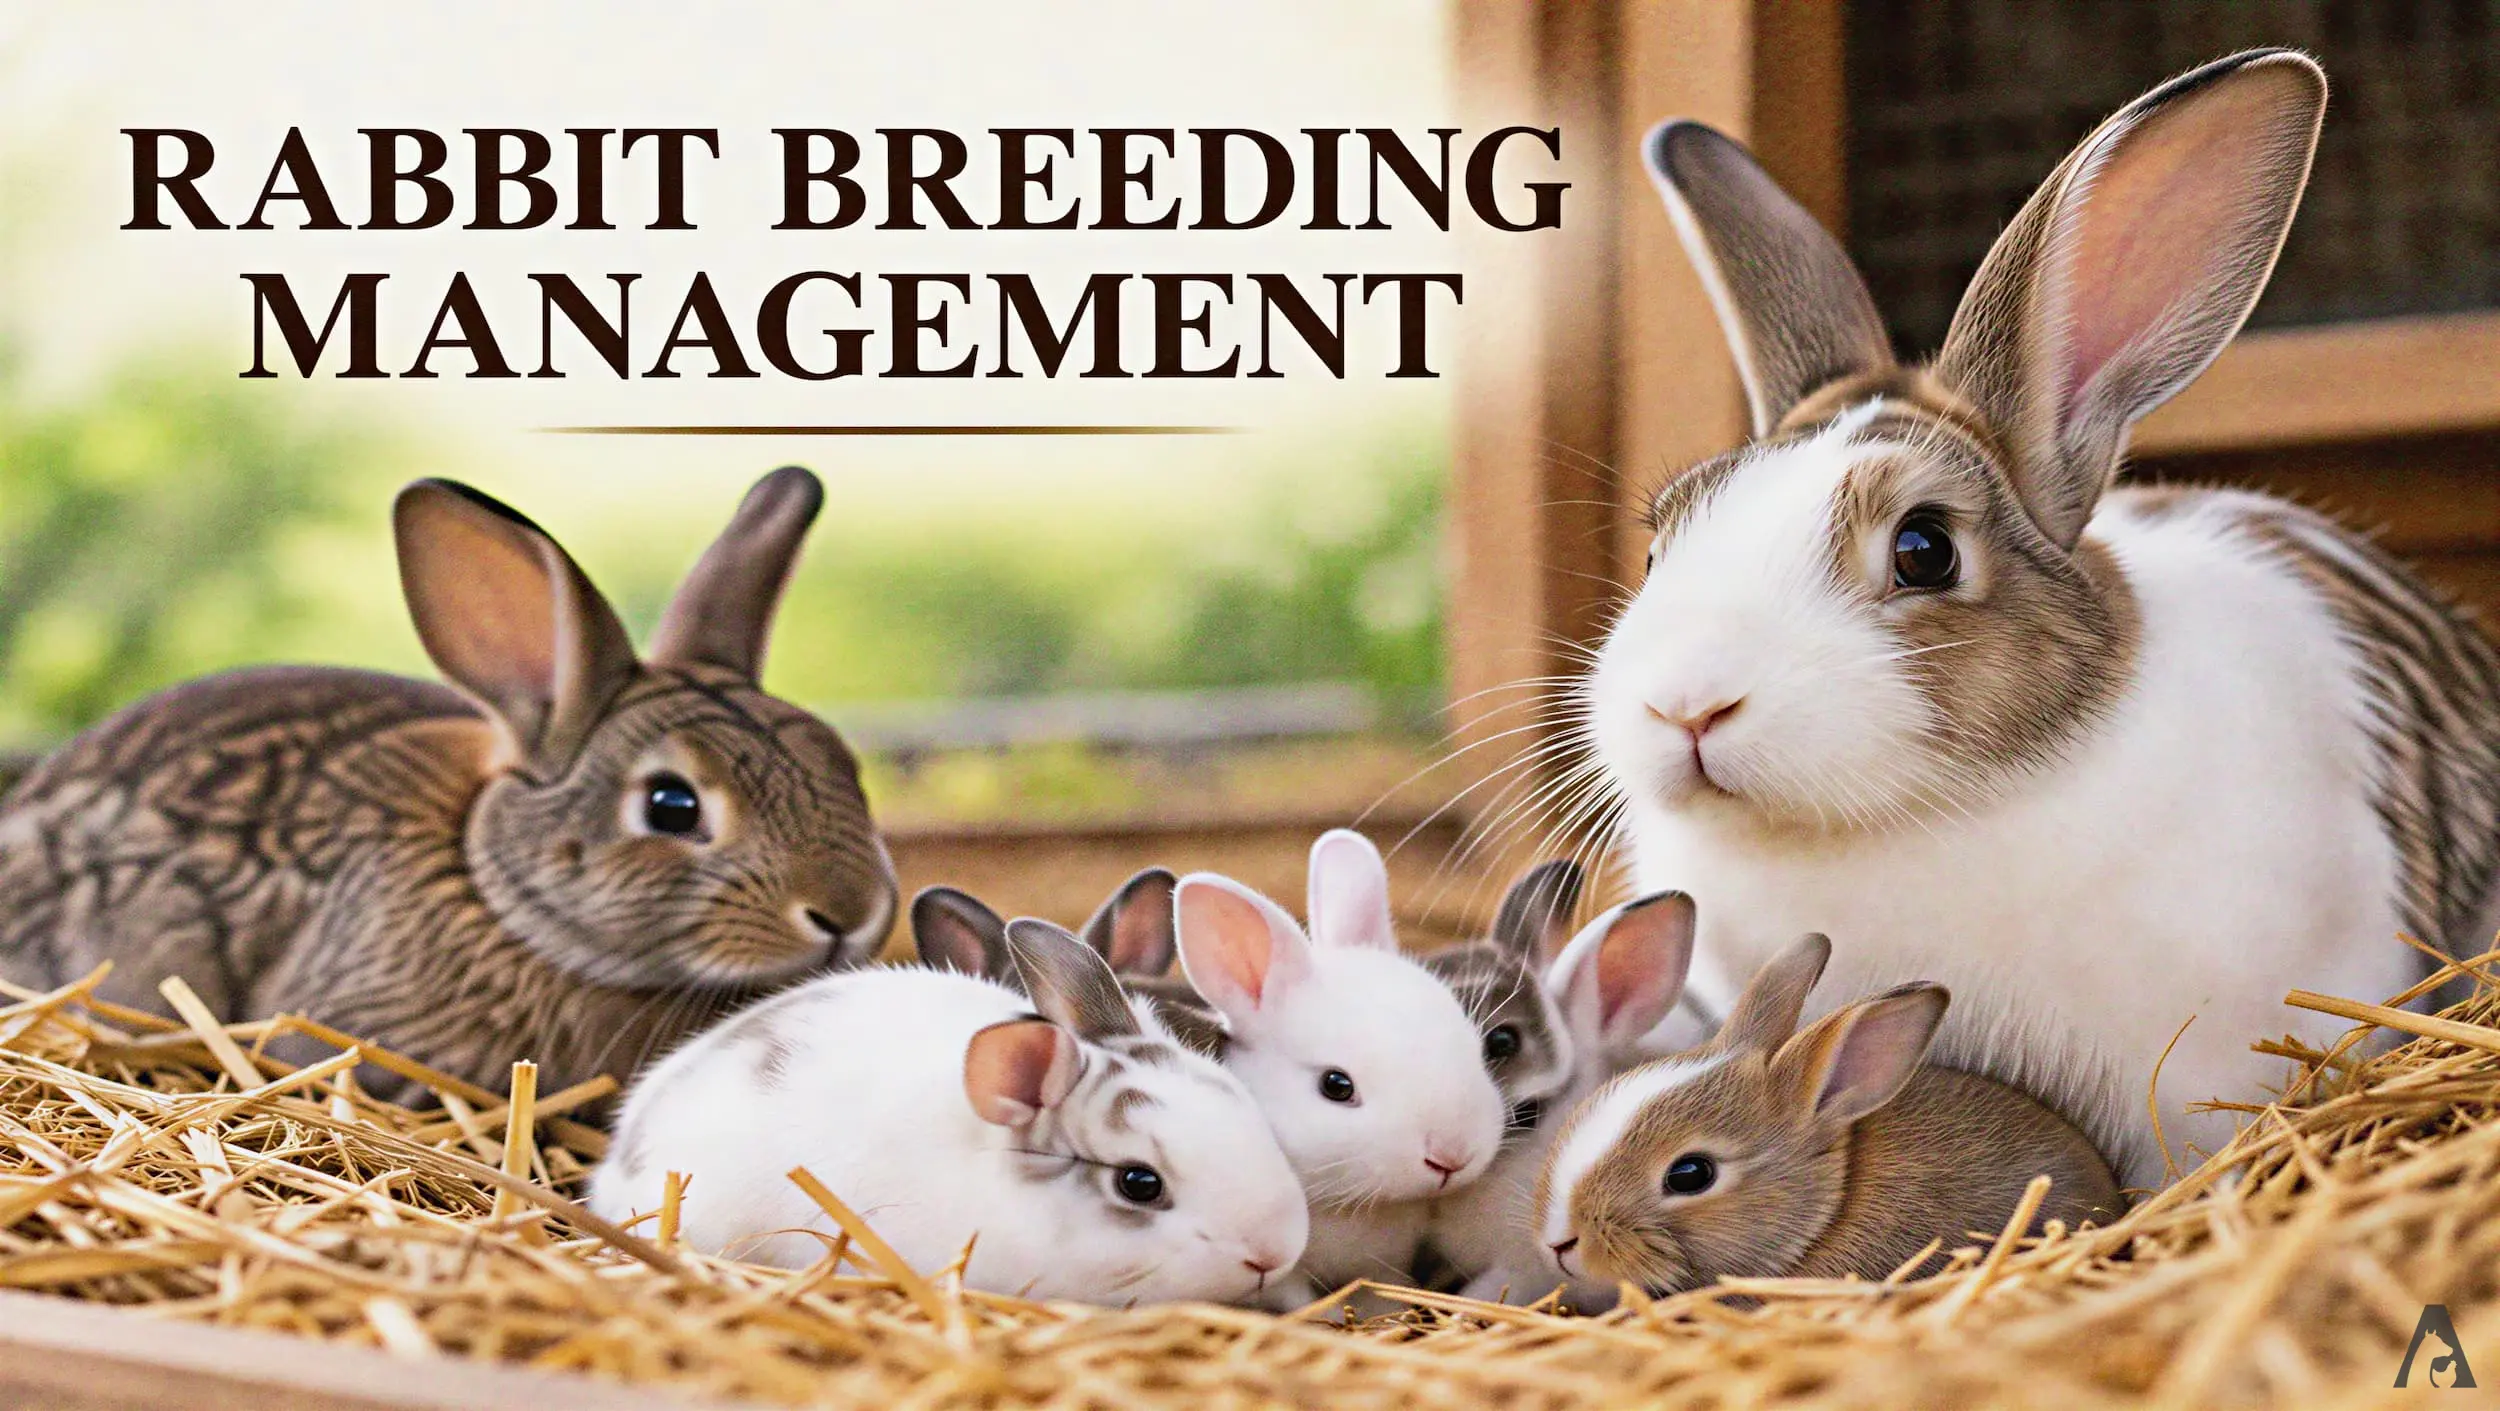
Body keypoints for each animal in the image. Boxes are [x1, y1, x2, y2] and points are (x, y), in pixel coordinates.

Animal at [1170, 833, 1508, 1302]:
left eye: (1478, 1049)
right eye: (1336, 1085)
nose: (1451, 1156)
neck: (1346, 1202)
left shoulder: (1382, 1263)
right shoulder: (1285, 1271)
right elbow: (1298, 1298)